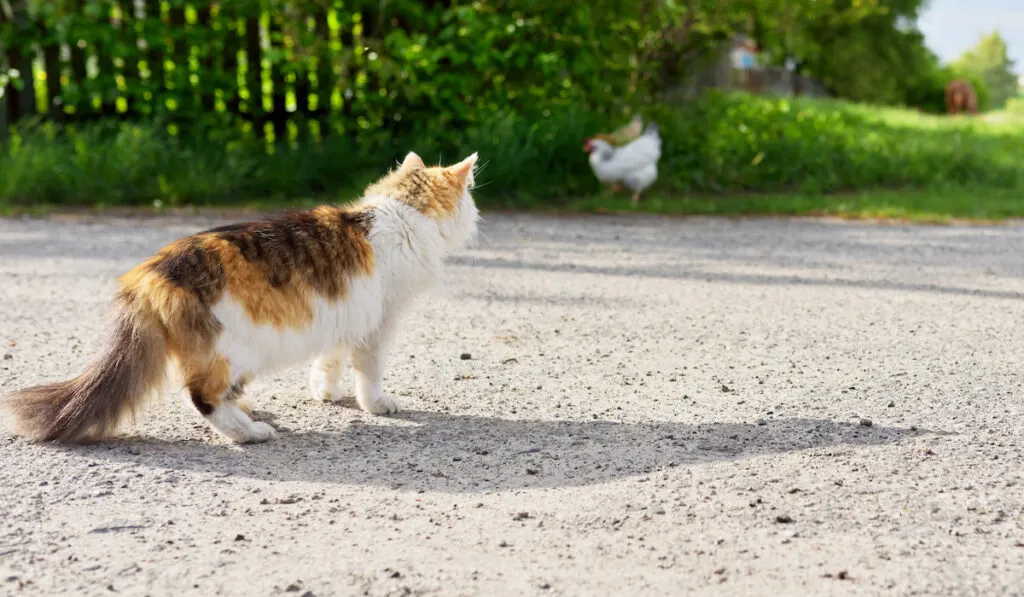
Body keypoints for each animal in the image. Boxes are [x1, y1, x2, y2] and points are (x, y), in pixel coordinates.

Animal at [2, 150, 481, 444]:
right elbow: (370, 371)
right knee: (201, 396)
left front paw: (327, 393)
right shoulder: (379, 323)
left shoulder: (343, 314)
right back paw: (249, 432)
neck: (399, 215)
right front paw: (377, 404)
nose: (476, 215)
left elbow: (329, 360)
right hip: (236, 347)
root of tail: (148, 273)